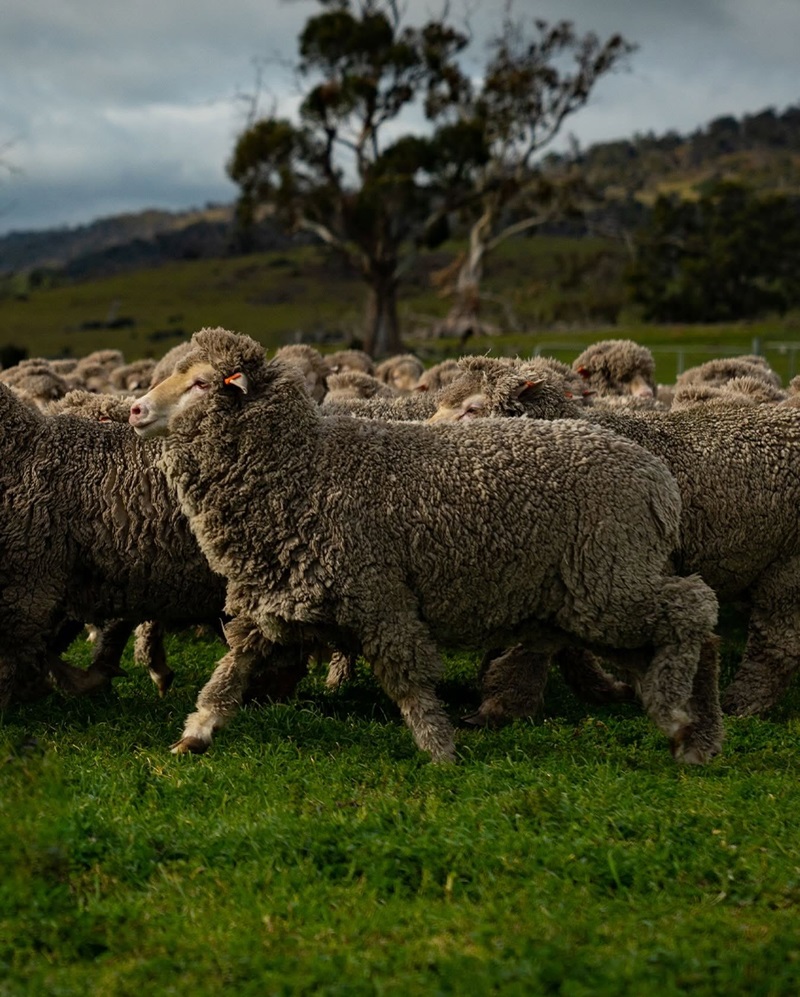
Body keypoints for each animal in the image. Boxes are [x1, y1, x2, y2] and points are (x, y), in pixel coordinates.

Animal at [129, 326, 721, 764]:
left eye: (201, 383)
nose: (135, 411)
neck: (303, 466)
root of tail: (658, 481)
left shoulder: (379, 593)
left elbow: (407, 676)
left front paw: (440, 750)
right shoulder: (274, 589)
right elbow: (232, 669)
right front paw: (195, 733)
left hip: (608, 579)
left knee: (695, 609)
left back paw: (681, 718)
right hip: (589, 594)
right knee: (676, 631)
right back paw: (688, 728)